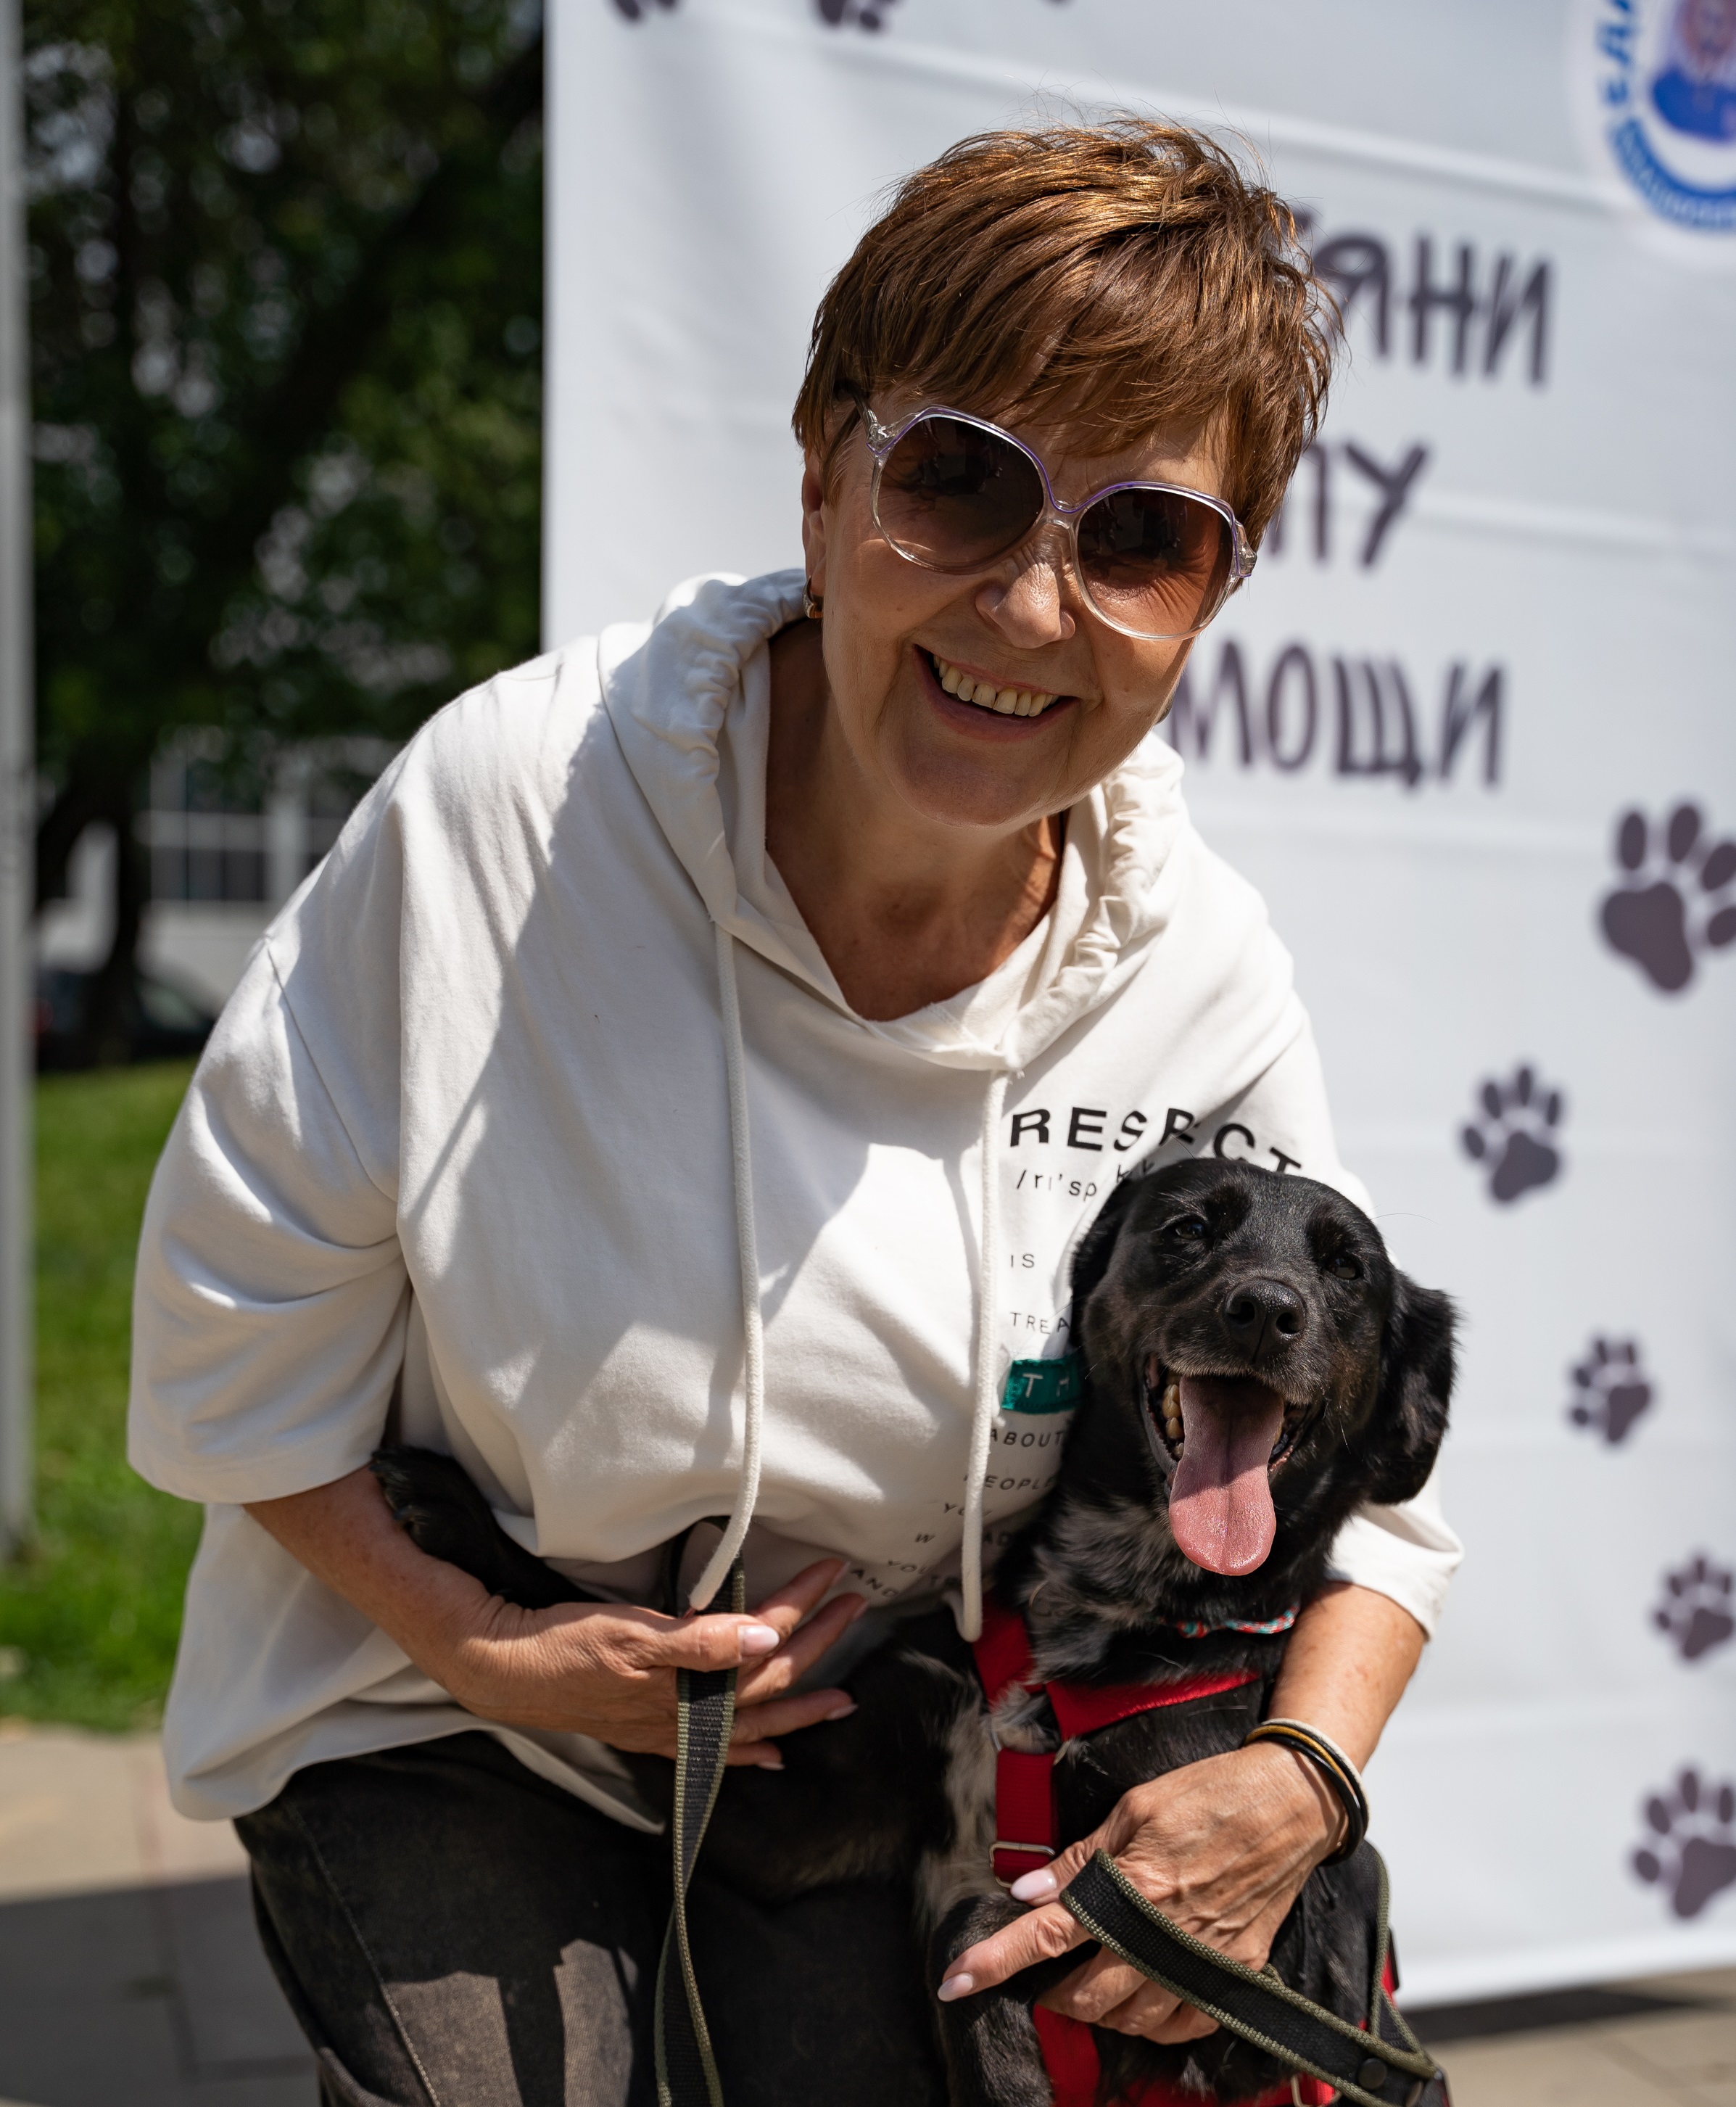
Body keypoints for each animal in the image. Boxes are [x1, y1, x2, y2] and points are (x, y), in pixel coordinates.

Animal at [377, 1163, 1449, 2098]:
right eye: (1188, 1228)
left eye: (1347, 1269)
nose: (1265, 1309)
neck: (1109, 1609)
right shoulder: (789, 1819)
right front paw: (463, 1520)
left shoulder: (1223, 1982)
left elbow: (984, 1923)